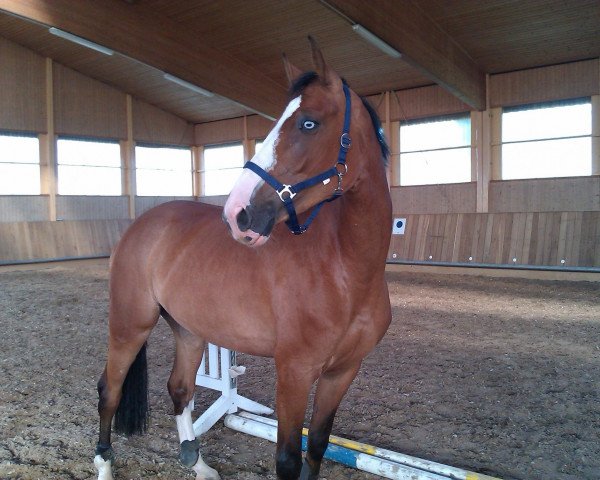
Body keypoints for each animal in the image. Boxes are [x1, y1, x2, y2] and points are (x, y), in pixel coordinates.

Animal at [94, 38, 394, 480]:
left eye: (308, 123)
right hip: (130, 325)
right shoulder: (294, 372)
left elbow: (317, 446)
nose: (238, 213)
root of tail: (142, 224)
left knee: (179, 389)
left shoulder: (341, 373)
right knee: (109, 391)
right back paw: (104, 464)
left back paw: (198, 464)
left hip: (189, 330)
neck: (346, 270)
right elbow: (288, 458)